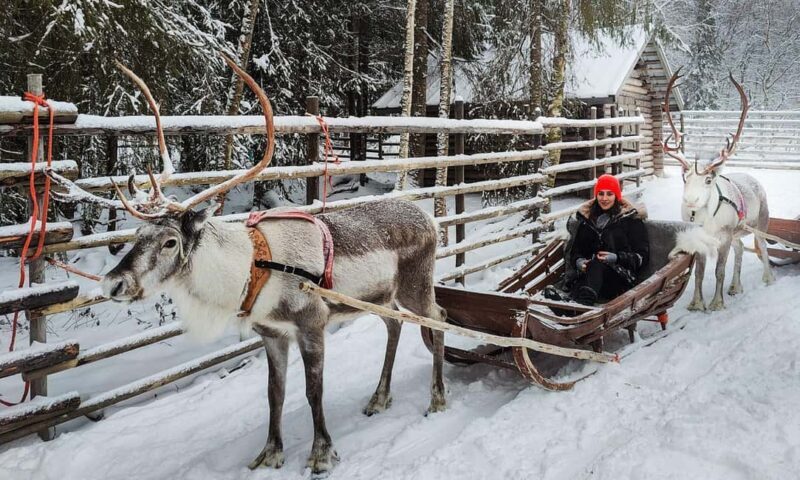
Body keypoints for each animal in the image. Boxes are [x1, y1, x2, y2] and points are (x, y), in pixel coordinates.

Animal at [46, 55, 448, 476]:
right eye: (138, 233)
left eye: (171, 241)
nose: (114, 284)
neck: (252, 270)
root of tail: (430, 220)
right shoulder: (271, 333)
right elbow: (275, 393)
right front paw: (270, 453)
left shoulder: (312, 323)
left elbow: (313, 390)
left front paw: (321, 453)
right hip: (380, 297)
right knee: (395, 325)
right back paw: (379, 397)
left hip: (415, 285)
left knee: (437, 318)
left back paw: (436, 397)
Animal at [662, 69, 774, 311]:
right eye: (685, 177)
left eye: (708, 180)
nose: (690, 200)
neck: (706, 219)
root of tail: (754, 179)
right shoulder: (700, 240)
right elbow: (699, 273)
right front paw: (696, 303)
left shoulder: (724, 236)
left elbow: (719, 270)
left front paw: (716, 303)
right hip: (737, 232)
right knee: (740, 249)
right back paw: (735, 286)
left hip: (760, 221)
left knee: (762, 246)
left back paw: (768, 278)